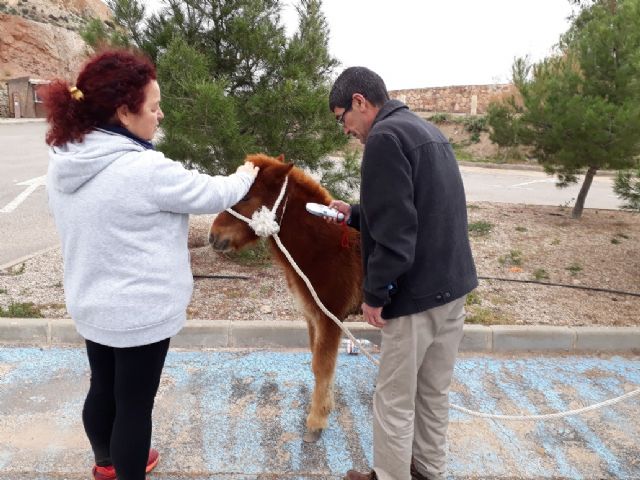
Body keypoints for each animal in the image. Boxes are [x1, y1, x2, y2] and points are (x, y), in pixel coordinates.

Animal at [209, 154, 362, 442]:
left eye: (247, 196)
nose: (213, 237)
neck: (326, 250)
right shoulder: (313, 317)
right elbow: (318, 363)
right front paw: (325, 408)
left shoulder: (330, 318)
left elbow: (322, 365)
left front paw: (315, 423)